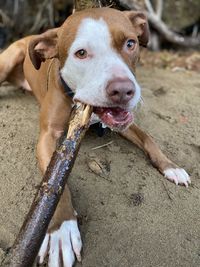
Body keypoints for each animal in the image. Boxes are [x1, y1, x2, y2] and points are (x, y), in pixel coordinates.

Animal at [0, 7, 191, 267]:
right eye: (81, 53)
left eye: (130, 43)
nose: (123, 90)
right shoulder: (48, 137)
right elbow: (55, 184)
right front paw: (62, 230)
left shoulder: (124, 124)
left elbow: (149, 138)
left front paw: (170, 166)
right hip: (8, 60)